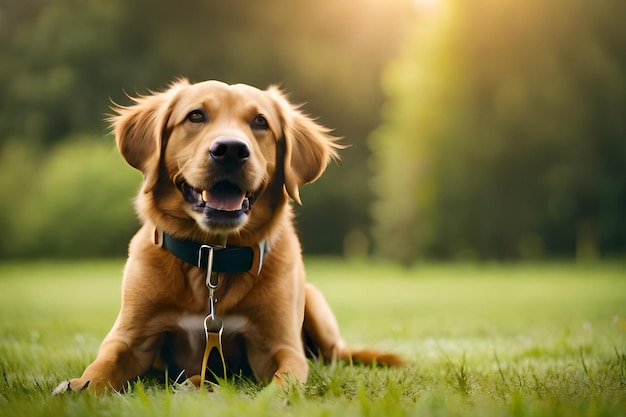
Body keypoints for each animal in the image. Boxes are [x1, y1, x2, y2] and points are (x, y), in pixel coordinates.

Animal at [52, 79, 400, 394]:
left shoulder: (279, 347)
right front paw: (78, 386)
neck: (213, 258)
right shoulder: (130, 338)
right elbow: (102, 366)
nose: (231, 149)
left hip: (314, 301)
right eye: (195, 115)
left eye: (260, 121)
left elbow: (282, 384)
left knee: (337, 353)